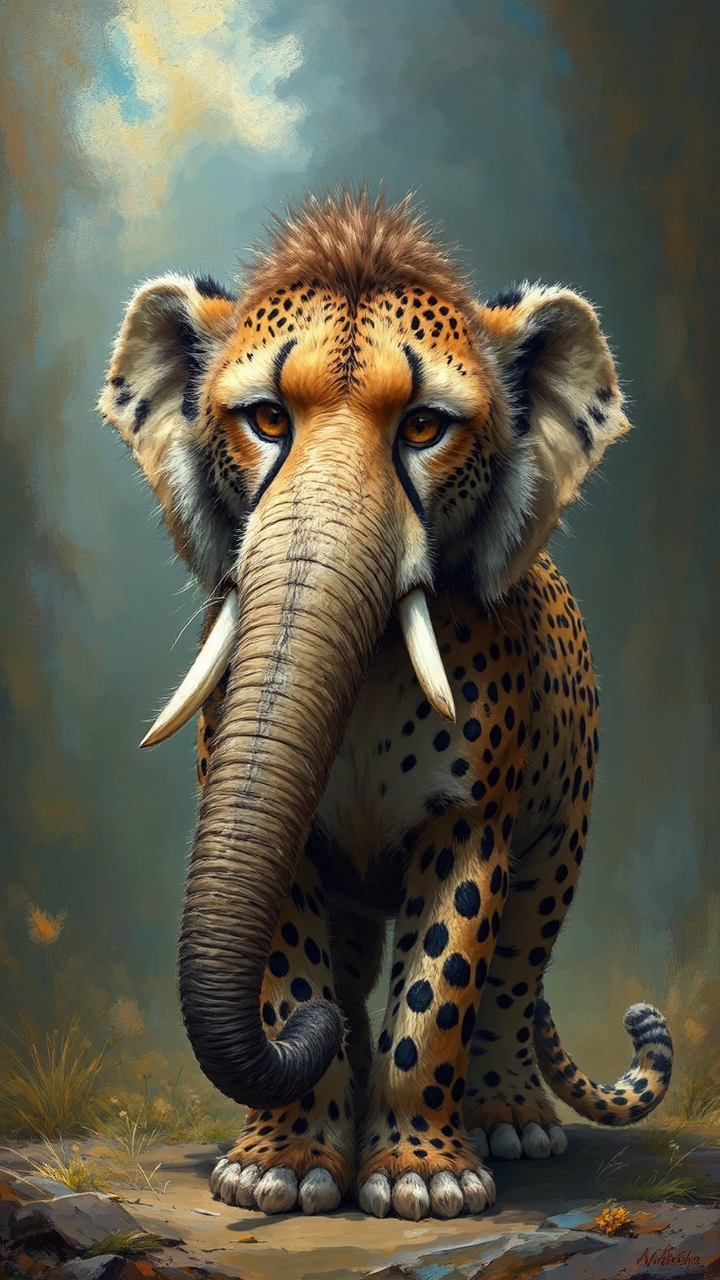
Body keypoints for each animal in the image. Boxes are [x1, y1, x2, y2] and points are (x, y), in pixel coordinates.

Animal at [100, 188, 672, 1221]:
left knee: (514, 965)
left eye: (423, 429)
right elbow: (291, 966)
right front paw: (281, 1168)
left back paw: (509, 1119)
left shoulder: (474, 822)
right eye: (266, 419)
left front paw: (422, 1177)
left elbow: (438, 985)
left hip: (559, 842)